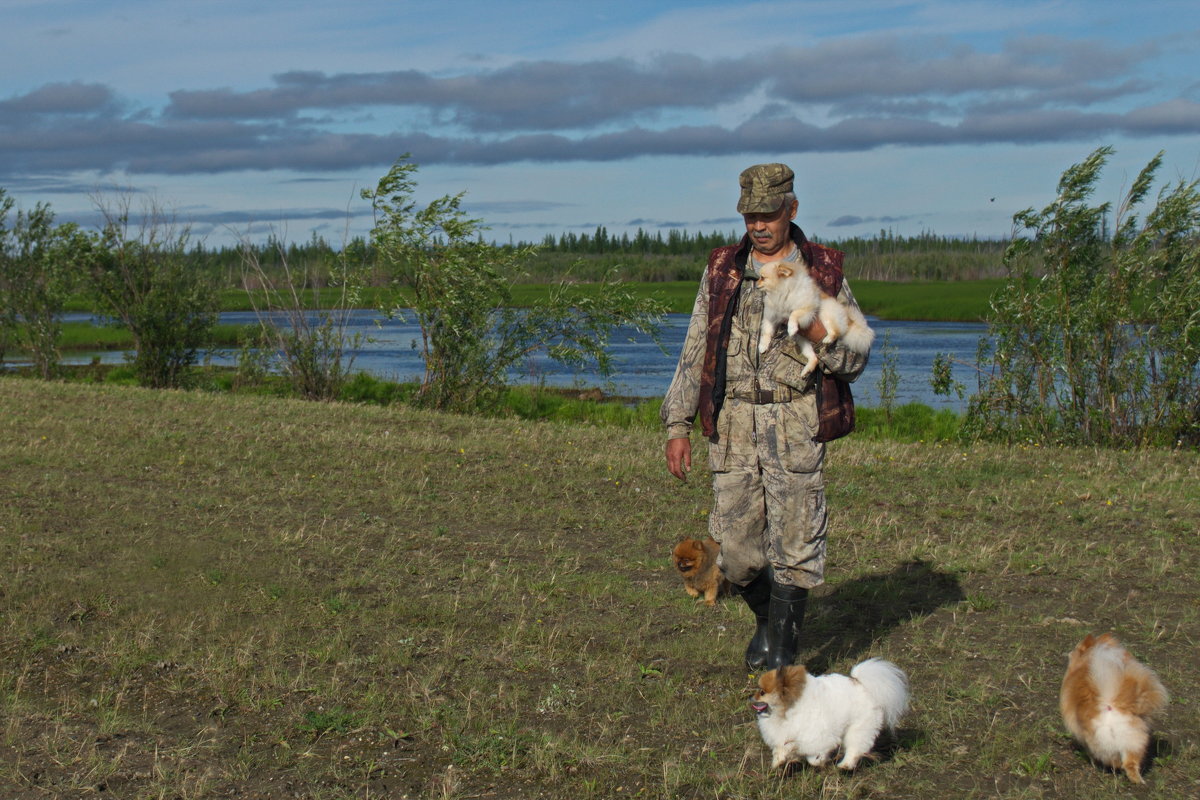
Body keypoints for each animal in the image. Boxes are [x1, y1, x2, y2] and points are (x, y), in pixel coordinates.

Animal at [748, 662, 907, 772]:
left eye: (762, 692)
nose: (750, 697)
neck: (787, 710)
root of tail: (862, 684)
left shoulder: (816, 737)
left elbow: (814, 755)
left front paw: (820, 761)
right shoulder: (785, 737)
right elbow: (781, 751)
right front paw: (779, 763)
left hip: (858, 728)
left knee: (855, 748)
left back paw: (845, 765)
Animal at [1060, 633, 1171, 782]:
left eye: (1077, 647)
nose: (1070, 652)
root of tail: (1112, 706)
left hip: (1102, 744)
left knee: (1111, 760)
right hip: (1135, 743)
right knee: (1130, 764)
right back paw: (1138, 781)